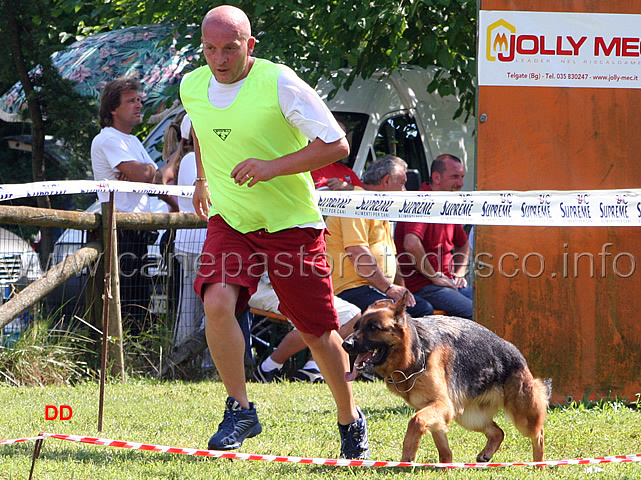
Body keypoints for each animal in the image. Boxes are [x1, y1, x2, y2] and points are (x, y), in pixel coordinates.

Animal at [342, 292, 548, 464]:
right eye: (356, 326)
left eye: (373, 328)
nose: (345, 344)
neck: (416, 353)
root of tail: (513, 349)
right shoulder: (437, 409)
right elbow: (442, 446)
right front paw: (446, 467)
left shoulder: (441, 404)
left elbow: (415, 421)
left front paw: (408, 454)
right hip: (469, 417)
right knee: (498, 432)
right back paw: (486, 454)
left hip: (522, 417)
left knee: (538, 433)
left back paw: (539, 466)